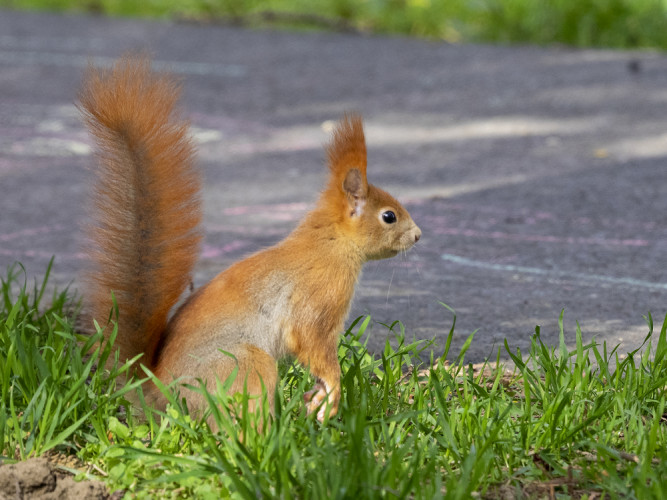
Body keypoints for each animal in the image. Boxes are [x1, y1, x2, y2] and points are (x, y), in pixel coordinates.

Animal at [79, 55, 422, 422]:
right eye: (389, 216)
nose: (418, 235)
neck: (330, 244)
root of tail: (158, 392)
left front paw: (318, 396)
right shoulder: (319, 296)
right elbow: (312, 342)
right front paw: (332, 392)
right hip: (245, 365)